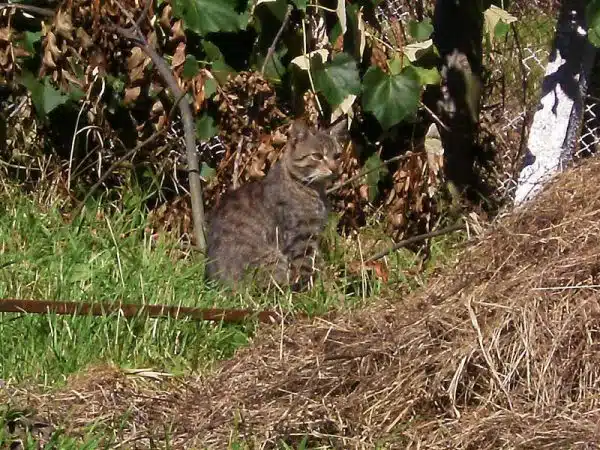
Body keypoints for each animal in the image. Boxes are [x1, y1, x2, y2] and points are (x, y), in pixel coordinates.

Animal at [205, 118, 350, 290]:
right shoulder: (301, 237)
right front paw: (308, 291)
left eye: (337, 155)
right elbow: (304, 266)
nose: (334, 169)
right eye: (317, 156)